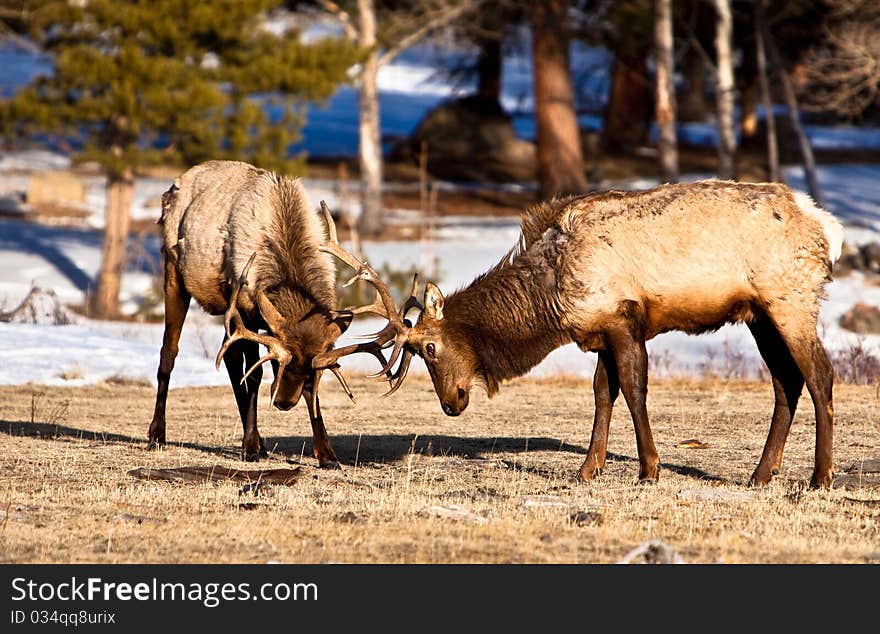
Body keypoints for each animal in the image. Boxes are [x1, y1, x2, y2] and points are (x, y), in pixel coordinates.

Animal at [148, 160, 388, 462]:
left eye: (310, 374)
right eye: (283, 365)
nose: (284, 403)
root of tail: (170, 190)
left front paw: (326, 453)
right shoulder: (247, 312)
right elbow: (254, 374)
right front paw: (250, 446)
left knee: (230, 360)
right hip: (175, 274)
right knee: (170, 351)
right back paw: (157, 434)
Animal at [326, 180, 848, 486]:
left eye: (430, 347)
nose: (451, 403)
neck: (551, 295)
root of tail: (829, 227)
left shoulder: (623, 318)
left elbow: (634, 391)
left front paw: (649, 468)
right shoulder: (598, 332)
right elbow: (602, 394)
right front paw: (587, 468)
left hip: (790, 300)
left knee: (820, 375)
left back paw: (820, 476)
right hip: (759, 314)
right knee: (786, 381)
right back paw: (761, 474)